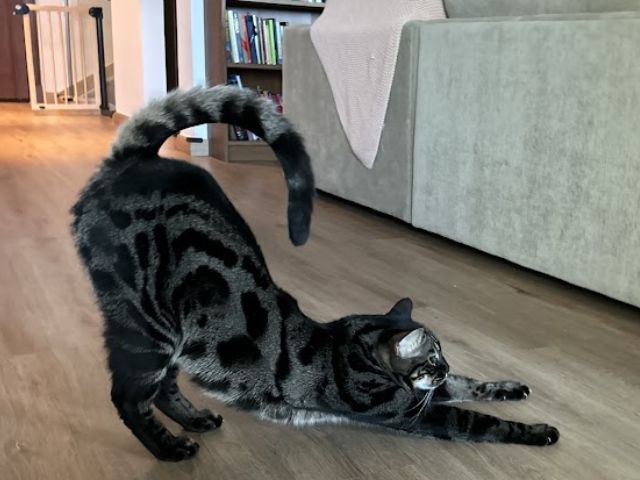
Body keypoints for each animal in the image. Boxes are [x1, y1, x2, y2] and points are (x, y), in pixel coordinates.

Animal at [71, 86, 559, 462]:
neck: (354, 346)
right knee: (129, 398)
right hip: (146, 326)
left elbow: (472, 385)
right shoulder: (408, 407)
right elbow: (479, 420)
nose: (446, 365)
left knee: (164, 388)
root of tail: (133, 158)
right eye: (433, 359)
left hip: (176, 335)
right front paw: (539, 431)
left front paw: (510, 386)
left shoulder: (423, 394)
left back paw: (195, 420)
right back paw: (170, 448)